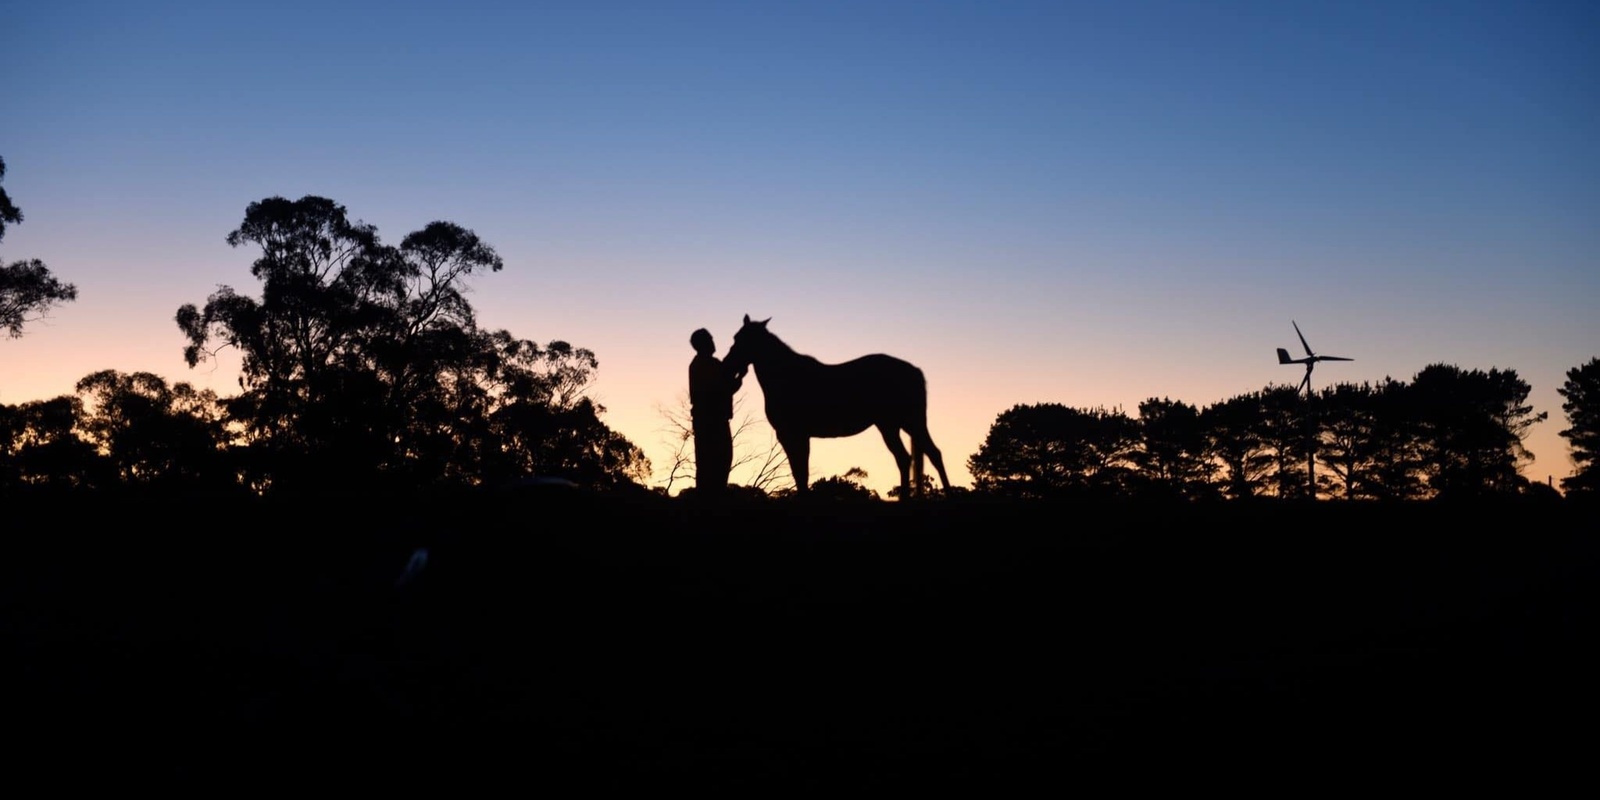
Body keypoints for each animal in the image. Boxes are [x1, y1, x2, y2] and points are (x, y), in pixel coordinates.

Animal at [726, 313, 947, 496]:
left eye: (743, 339)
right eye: (736, 337)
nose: (729, 364)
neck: (787, 376)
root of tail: (914, 370)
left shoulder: (793, 434)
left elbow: (801, 473)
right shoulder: (796, 435)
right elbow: (800, 473)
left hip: (908, 423)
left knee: (929, 455)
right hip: (893, 425)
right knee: (910, 458)